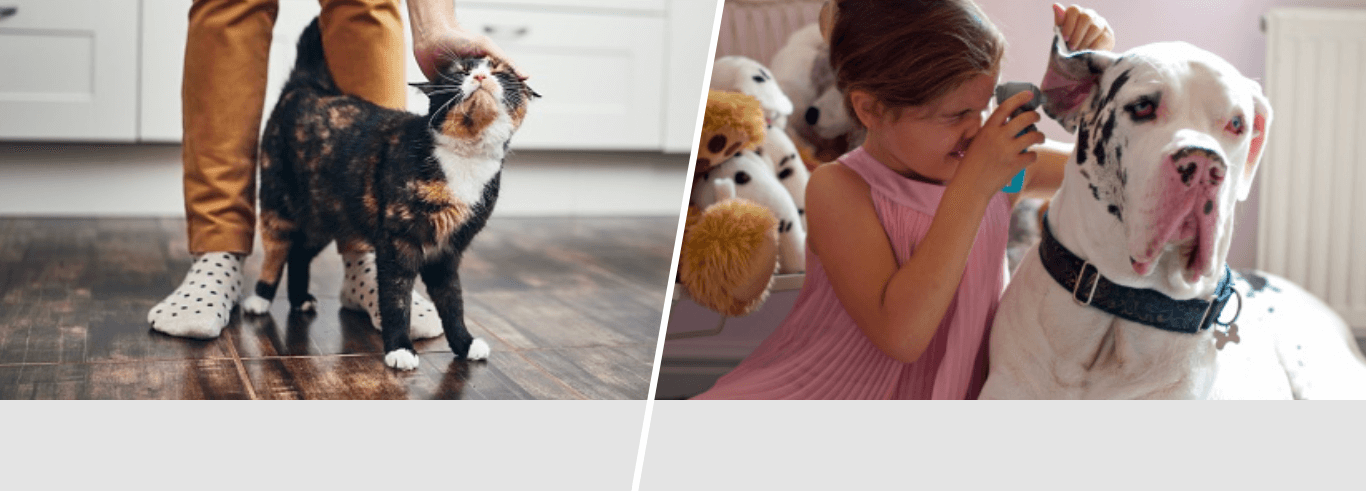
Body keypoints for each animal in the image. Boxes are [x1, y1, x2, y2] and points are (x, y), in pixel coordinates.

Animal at [240, 17, 538, 372]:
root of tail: (306, 86)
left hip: (326, 216)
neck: (465, 158)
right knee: (276, 251)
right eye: (461, 70)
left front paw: (464, 343)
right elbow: (396, 299)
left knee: (299, 253)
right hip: (279, 203)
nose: (480, 76)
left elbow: (453, 301)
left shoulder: (448, 250)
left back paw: (300, 300)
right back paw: (259, 298)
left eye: (498, 70)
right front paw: (400, 348)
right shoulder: (398, 242)